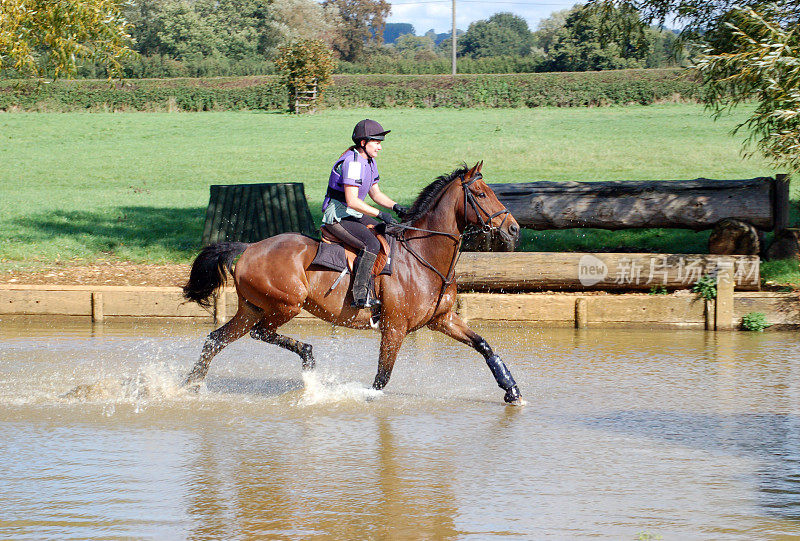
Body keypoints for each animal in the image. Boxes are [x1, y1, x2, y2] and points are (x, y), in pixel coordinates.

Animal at [184, 162, 528, 402]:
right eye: (481, 194)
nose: (514, 229)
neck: (424, 255)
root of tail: (248, 247)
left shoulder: (442, 319)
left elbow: (484, 346)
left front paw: (512, 391)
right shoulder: (394, 328)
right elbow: (381, 378)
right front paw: (366, 399)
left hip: (251, 308)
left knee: (216, 339)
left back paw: (189, 386)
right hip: (285, 304)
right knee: (261, 333)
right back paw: (307, 355)